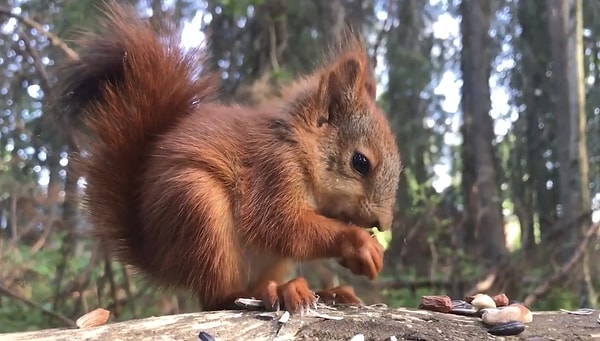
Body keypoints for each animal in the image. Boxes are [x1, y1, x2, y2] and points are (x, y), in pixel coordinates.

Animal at [58, 1, 400, 310]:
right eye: (360, 162)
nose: (382, 224)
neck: (298, 146)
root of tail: (159, 258)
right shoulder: (272, 171)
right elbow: (280, 226)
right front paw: (359, 244)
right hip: (198, 207)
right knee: (215, 298)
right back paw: (266, 293)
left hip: (265, 259)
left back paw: (319, 292)